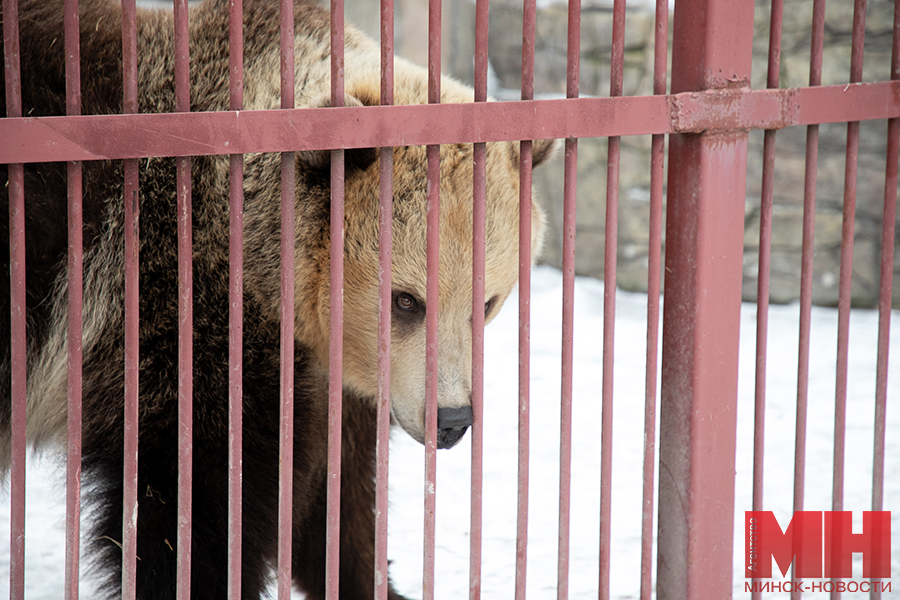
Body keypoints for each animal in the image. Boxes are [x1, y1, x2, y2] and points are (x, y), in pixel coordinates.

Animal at [0, 0, 556, 596]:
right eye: (406, 300)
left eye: (487, 303)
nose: (451, 420)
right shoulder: (173, 311)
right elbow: (196, 505)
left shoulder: (335, 377)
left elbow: (338, 496)